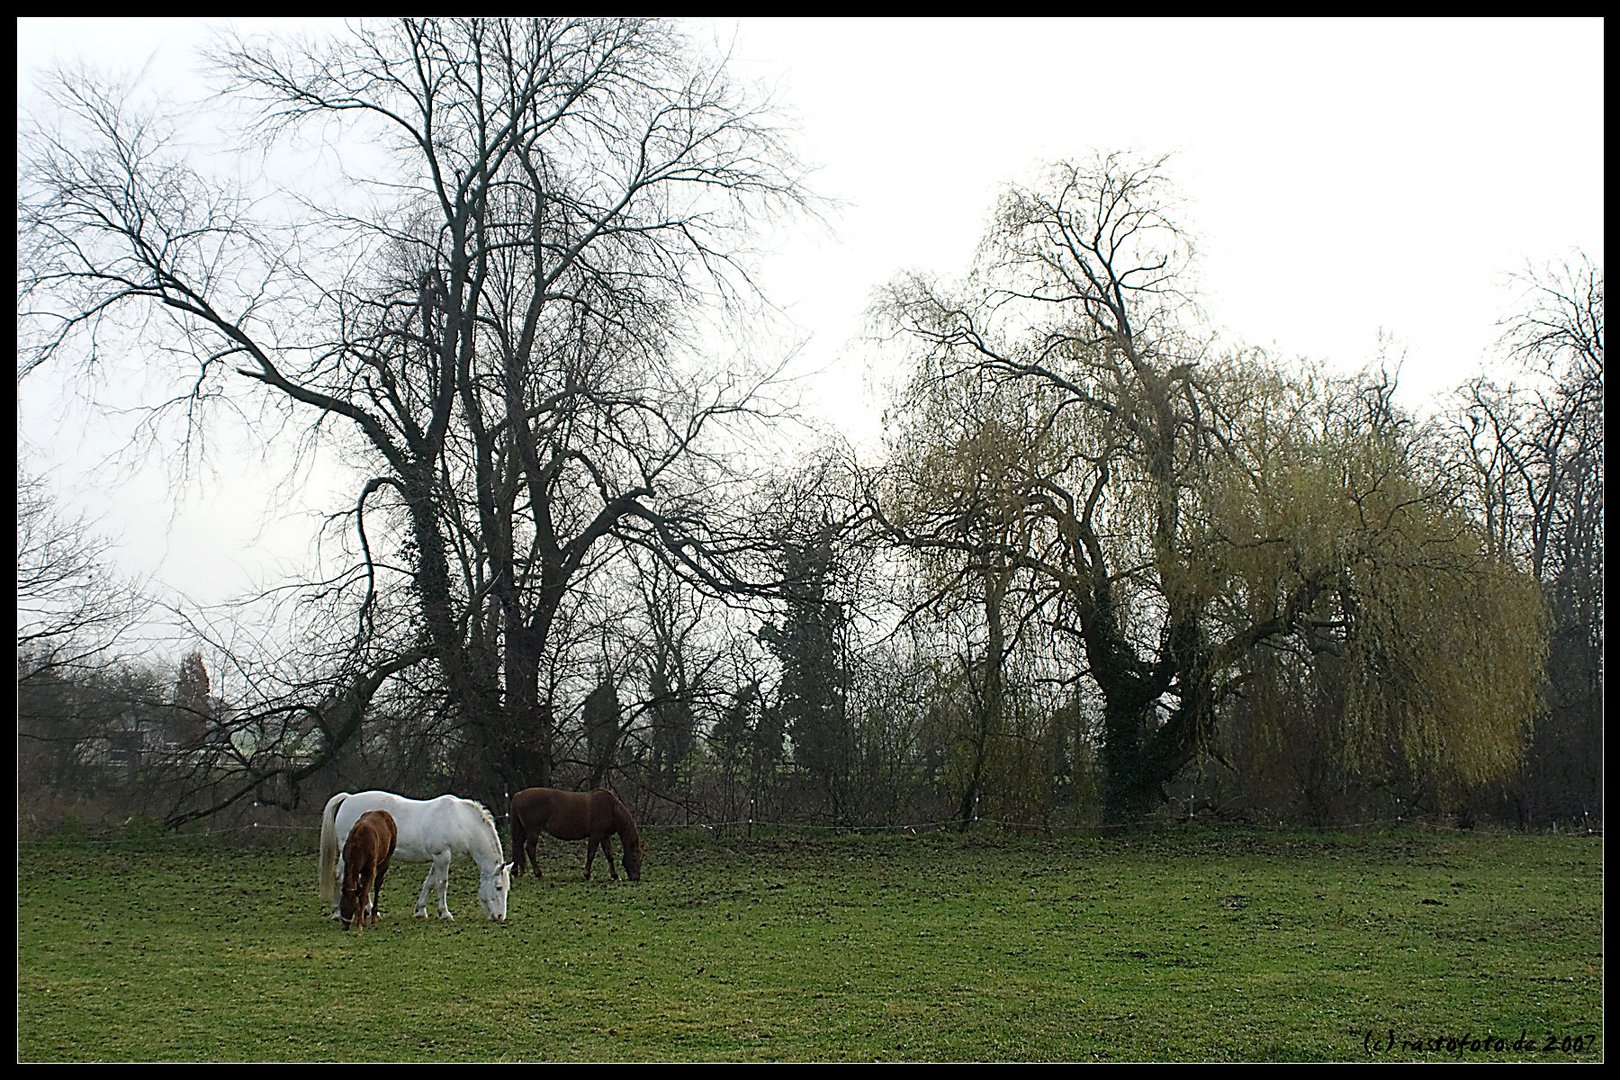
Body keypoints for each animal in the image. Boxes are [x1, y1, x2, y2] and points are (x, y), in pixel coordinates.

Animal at [317, 790, 511, 926]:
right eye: (499, 887)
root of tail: (348, 798)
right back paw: (338, 912)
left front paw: (420, 910)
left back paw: (366, 910)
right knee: (340, 875)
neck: (461, 821)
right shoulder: (442, 856)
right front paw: (445, 913)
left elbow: (429, 883)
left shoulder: (438, 859)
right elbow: (442, 884)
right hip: (348, 853)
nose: (500, 917)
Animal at [515, 790, 648, 880]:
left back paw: (515, 872)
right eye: (634, 857)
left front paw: (615, 876)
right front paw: (587, 874)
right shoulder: (595, 835)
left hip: (524, 832)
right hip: (533, 831)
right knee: (530, 849)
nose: (636, 878)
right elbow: (591, 854)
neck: (611, 809)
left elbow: (609, 855)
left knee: (518, 847)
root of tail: (518, 795)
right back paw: (538, 874)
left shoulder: (604, 836)